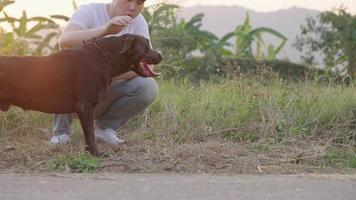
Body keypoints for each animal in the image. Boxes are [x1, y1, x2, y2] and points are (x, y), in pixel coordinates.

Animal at [0, 33, 163, 155]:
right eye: (146, 48)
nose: (161, 56)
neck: (105, 58)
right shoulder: (85, 106)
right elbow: (90, 134)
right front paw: (96, 153)